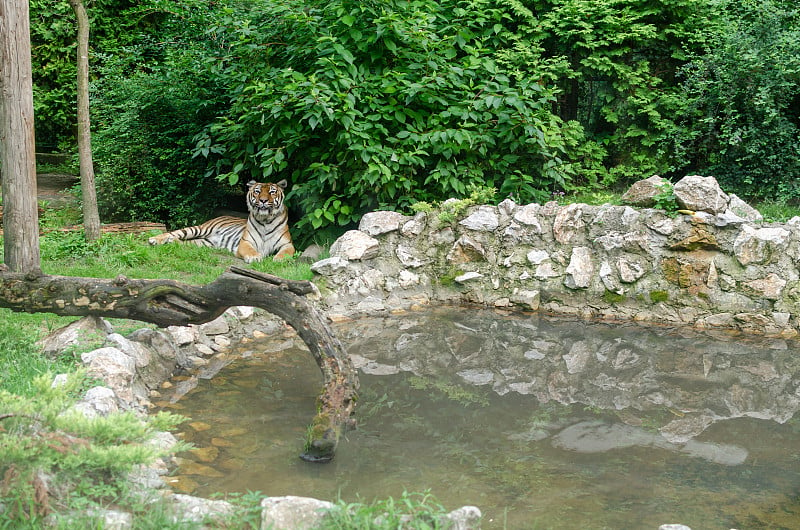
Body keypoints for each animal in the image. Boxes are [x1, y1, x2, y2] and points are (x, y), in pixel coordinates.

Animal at [148, 179, 296, 262]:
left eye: (272, 192)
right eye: (257, 191)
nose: (263, 200)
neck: (266, 220)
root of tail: (223, 215)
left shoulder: (287, 244)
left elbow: (286, 253)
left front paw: (278, 260)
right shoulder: (245, 242)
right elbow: (250, 250)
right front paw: (255, 257)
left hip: (203, 243)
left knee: (182, 243)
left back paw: (171, 241)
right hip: (199, 229)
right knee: (173, 233)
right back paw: (155, 239)